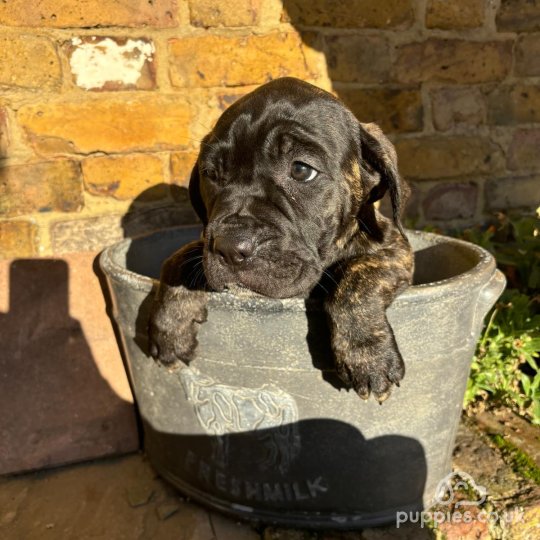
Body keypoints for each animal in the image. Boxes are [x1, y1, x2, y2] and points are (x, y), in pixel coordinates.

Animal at [148, 78, 414, 402]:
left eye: (301, 170)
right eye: (211, 174)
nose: (230, 246)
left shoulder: (395, 249)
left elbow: (357, 278)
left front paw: (367, 354)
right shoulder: (202, 244)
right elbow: (178, 258)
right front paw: (169, 326)